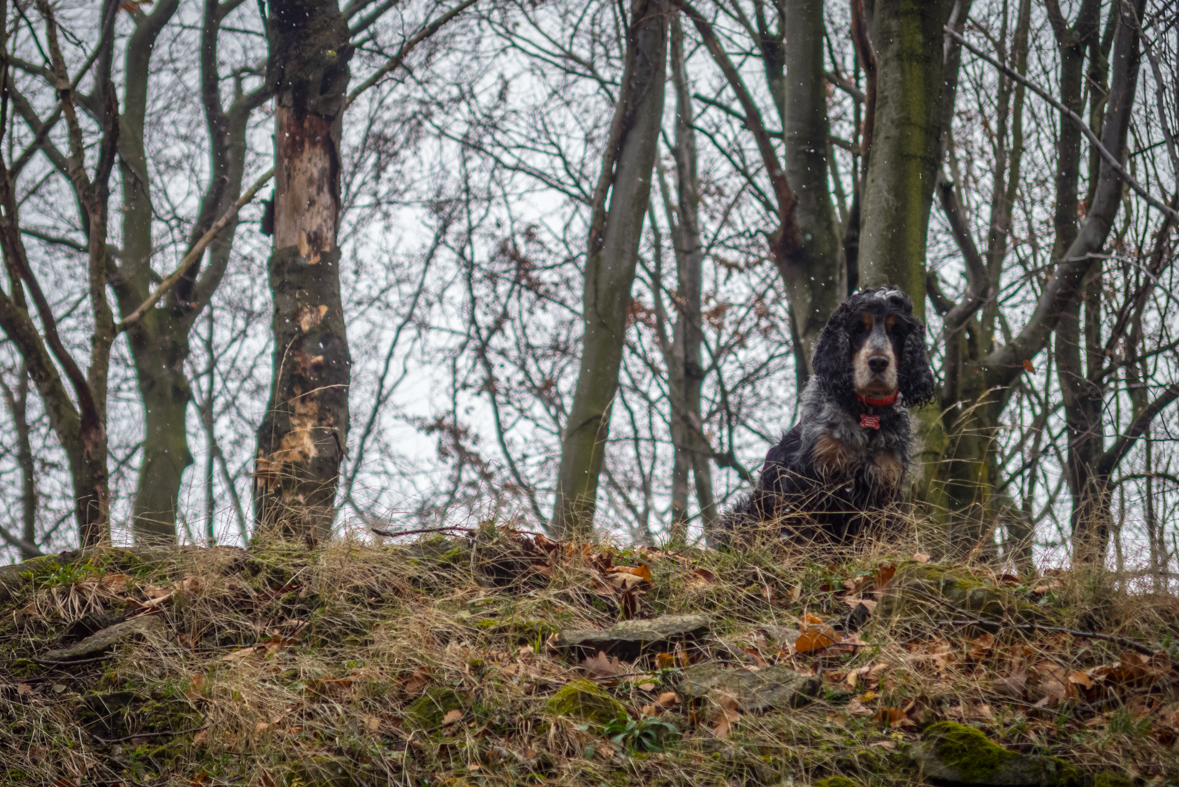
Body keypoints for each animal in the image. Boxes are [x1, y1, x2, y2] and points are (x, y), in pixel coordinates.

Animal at [712, 286, 933, 551]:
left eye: (896, 331)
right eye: (858, 329)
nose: (878, 362)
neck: (866, 414)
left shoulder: (883, 485)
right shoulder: (809, 478)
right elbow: (799, 534)